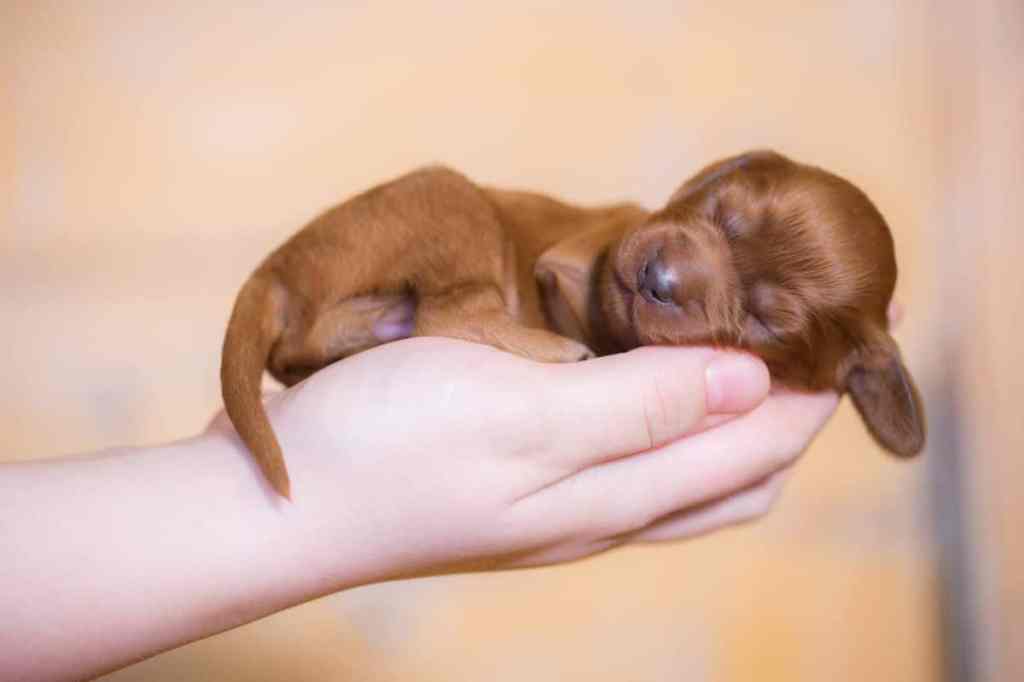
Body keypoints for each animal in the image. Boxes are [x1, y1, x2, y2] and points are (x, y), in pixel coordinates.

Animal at [224, 151, 929, 497]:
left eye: (764, 319)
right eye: (719, 211)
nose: (657, 276)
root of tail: (275, 268)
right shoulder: (576, 258)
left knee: (309, 346)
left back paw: (372, 328)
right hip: (451, 199)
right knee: (447, 309)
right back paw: (550, 348)